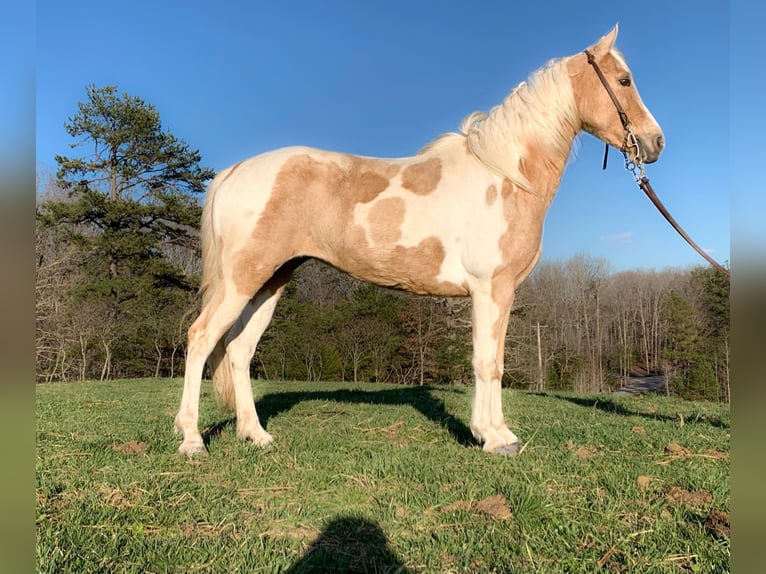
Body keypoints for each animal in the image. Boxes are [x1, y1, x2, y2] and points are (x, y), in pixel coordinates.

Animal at [176, 24, 664, 460]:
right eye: (624, 80)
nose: (655, 142)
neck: (505, 175)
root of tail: (235, 171)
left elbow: (492, 362)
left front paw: (496, 433)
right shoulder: (492, 290)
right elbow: (489, 363)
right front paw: (494, 437)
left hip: (270, 281)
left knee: (238, 350)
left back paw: (255, 435)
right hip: (241, 281)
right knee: (200, 339)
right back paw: (192, 440)